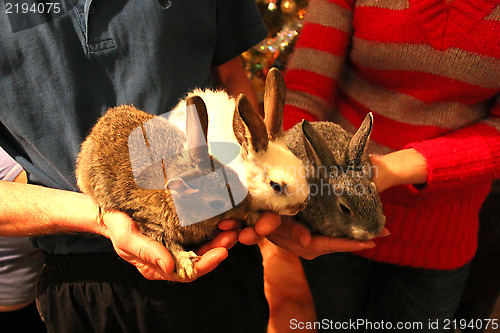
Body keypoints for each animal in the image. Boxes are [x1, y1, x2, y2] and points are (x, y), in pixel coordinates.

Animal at [76, 96, 250, 278]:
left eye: (233, 174)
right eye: (217, 204)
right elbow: (169, 245)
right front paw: (186, 265)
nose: (246, 209)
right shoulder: (152, 224)